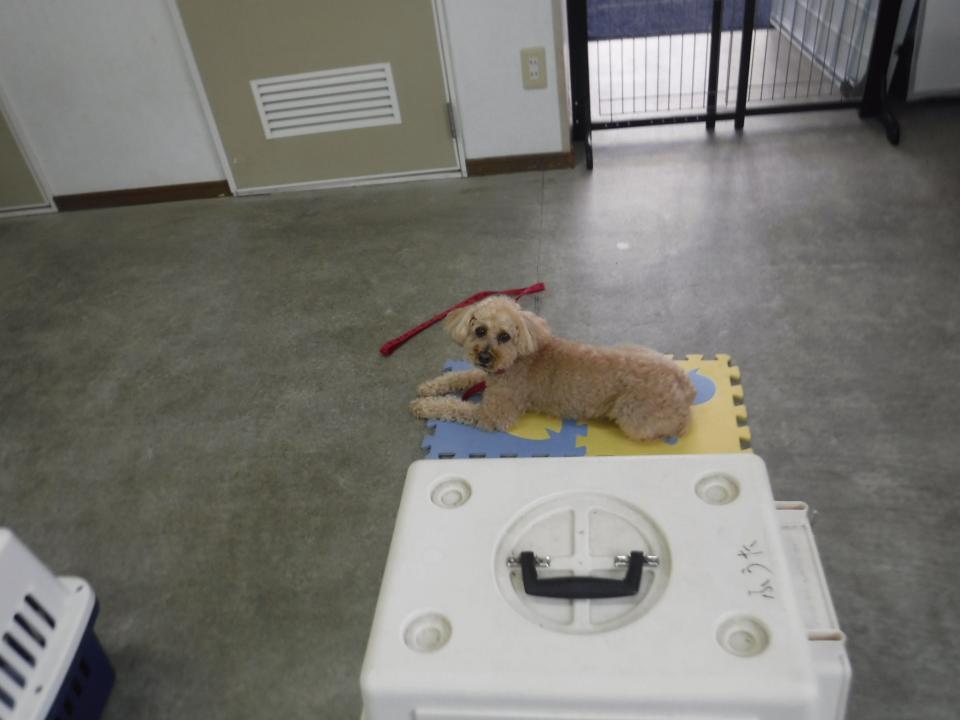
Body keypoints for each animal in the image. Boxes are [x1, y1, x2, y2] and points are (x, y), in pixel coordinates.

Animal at [410, 296, 695, 441]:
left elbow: (454, 406)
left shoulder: (494, 415)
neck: (515, 361)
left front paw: (423, 405)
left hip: (630, 415)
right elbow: (463, 374)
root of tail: (686, 388)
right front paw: (430, 386)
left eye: (504, 336)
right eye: (480, 330)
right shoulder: (487, 374)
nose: (484, 356)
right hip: (633, 347)